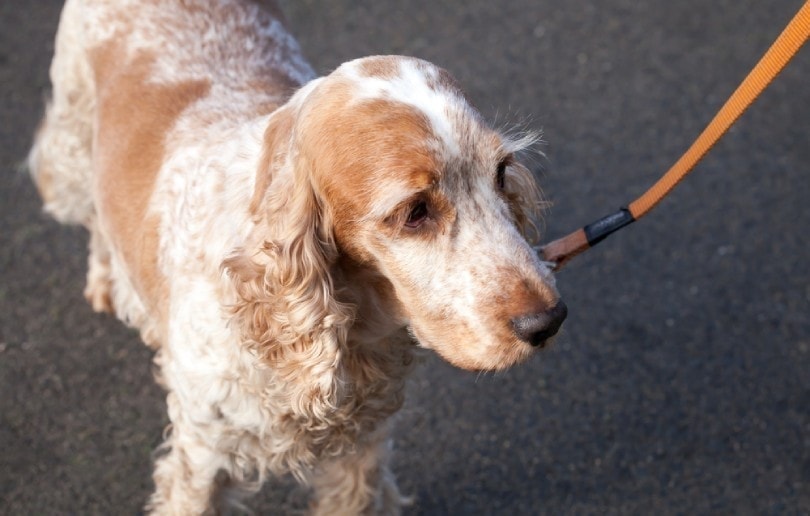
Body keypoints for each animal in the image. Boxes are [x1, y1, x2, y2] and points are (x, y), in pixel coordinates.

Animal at [28, 1, 564, 512]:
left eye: (501, 173)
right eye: (415, 212)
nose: (548, 321)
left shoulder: (364, 446)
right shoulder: (202, 455)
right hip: (70, 146)